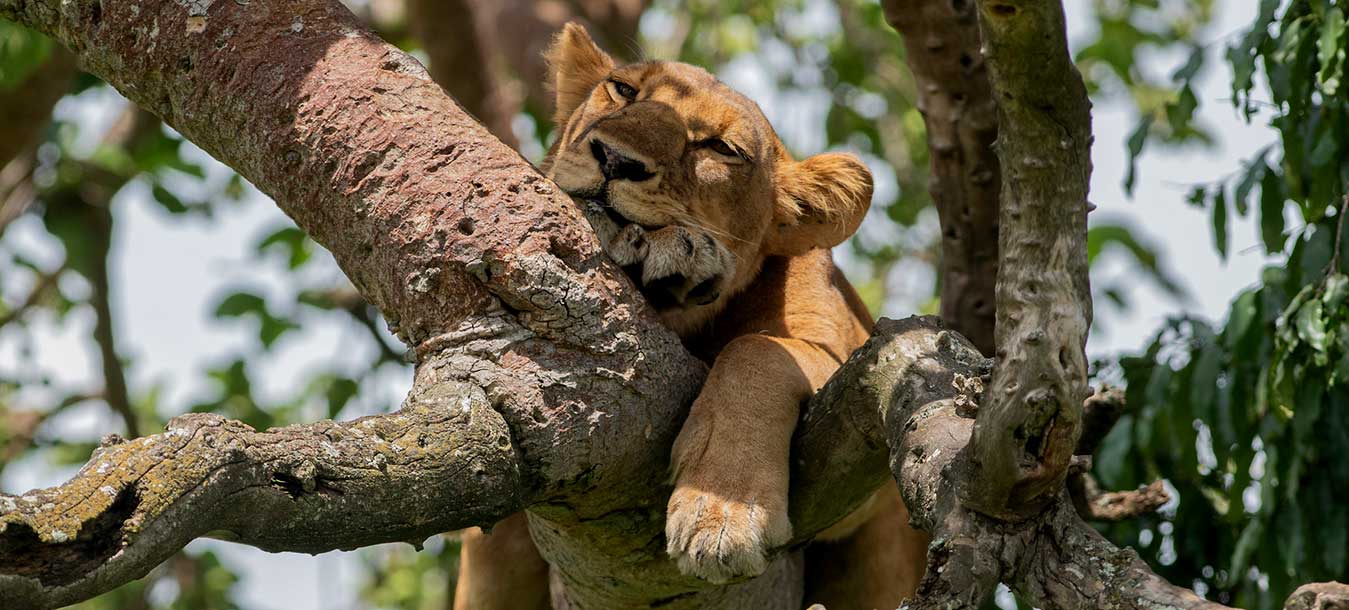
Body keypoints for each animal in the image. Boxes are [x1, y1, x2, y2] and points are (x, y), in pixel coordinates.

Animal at [454, 22, 929, 610]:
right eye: (623, 90)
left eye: (720, 148)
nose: (616, 159)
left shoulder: (860, 372)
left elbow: (757, 350)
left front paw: (721, 513)